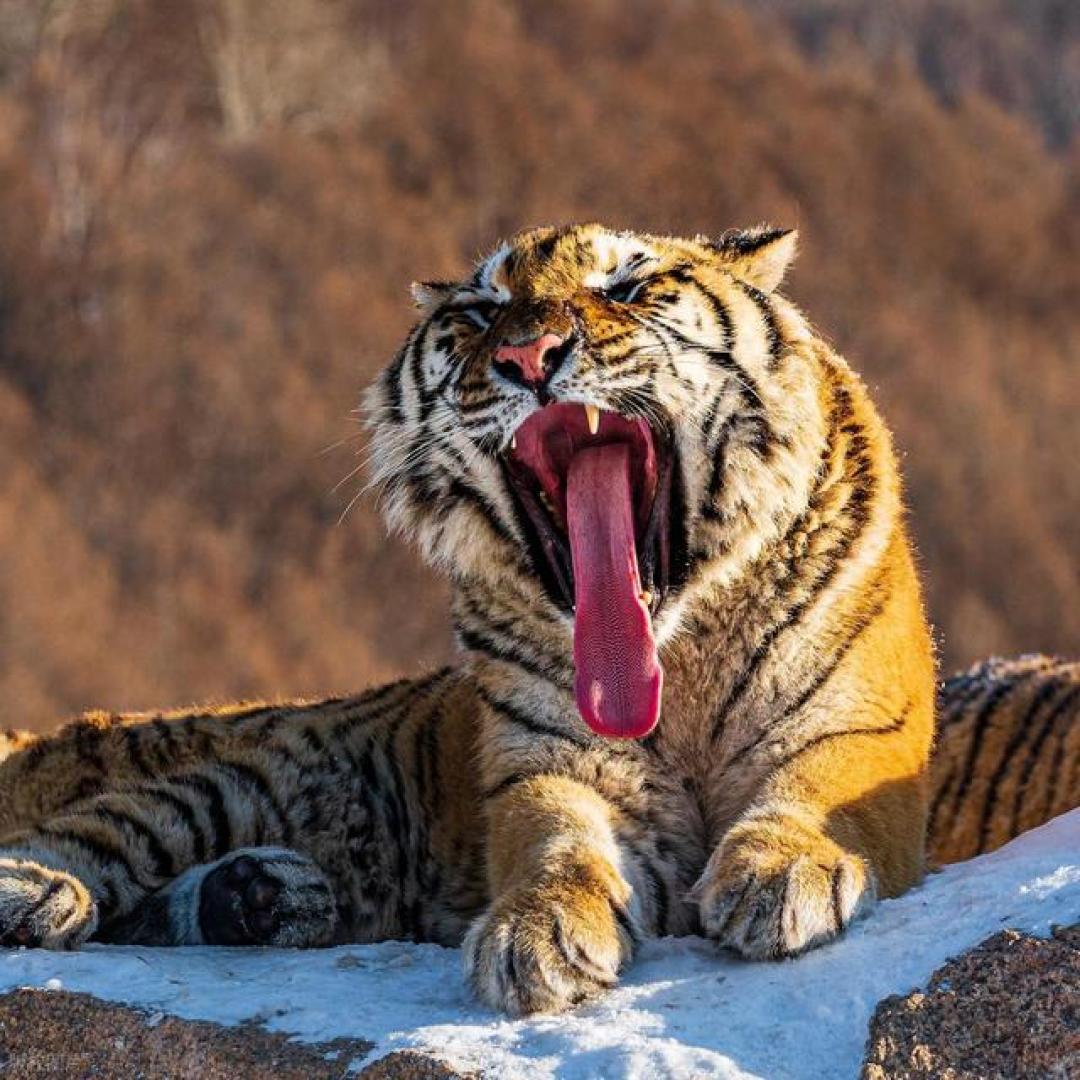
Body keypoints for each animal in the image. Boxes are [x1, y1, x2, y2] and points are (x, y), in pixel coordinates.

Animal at [0, 224, 1075, 1017]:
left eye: (629, 288)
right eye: (480, 315)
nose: (527, 355)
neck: (676, 665)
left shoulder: (856, 728)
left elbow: (815, 795)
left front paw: (779, 875)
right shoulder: (551, 762)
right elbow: (556, 842)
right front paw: (536, 934)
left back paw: (261, 896)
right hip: (241, 778)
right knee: (102, 830)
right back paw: (42, 890)